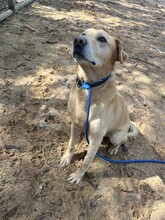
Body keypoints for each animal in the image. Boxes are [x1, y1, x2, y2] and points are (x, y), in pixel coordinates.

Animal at [60, 28, 139, 183]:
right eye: (83, 33)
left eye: (102, 39)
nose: (78, 40)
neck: (88, 87)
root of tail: (128, 123)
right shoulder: (75, 125)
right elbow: (71, 145)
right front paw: (66, 158)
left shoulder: (96, 139)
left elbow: (86, 162)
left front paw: (78, 176)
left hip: (116, 136)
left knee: (123, 140)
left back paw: (114, 148)